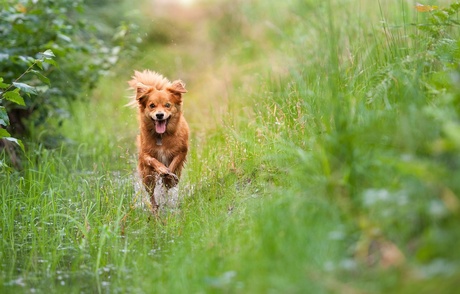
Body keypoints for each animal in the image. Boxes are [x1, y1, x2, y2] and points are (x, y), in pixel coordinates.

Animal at [127, 70, 189, 214]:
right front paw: (161, 169)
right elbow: (153, 160)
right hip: (147, 177)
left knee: (167, 187)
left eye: (167, 105)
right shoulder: (144, 154)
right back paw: (155, 208)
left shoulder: (182, 151)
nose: (159, 115)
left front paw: (168, 174)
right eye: (152, 105)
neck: (161, 136)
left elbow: (173, 164)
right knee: (151, 193)